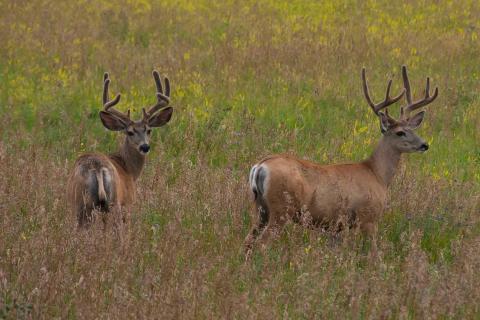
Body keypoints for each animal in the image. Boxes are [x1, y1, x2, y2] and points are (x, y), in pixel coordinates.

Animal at [66, 71, 173, 229]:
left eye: (149, 130)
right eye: (130, 132)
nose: (144, 147)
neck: (128, 169)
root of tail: (97, 167)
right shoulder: (128, 202)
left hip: (80, 204)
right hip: (115, 203)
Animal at [246, 65, 436, 258]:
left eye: (412, 129)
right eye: (400, 132)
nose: (424, 144)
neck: (377, 174)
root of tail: (260, 166)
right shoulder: (369, 217)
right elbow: (373, 253)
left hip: (261, 209)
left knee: (248, 241)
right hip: (281, 208)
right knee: (262, 244)